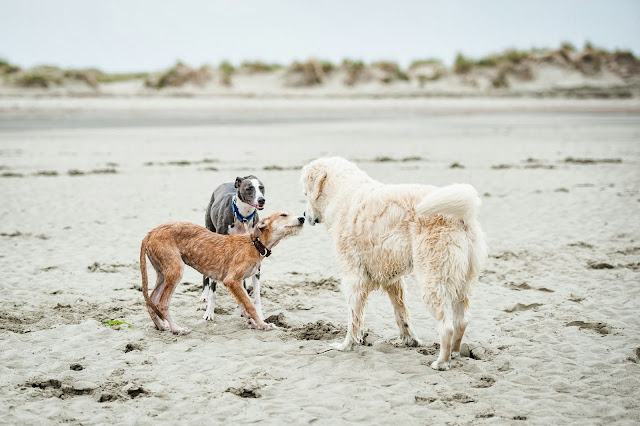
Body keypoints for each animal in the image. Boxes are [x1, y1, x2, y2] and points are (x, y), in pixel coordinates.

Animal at [140, 211, 304, 334]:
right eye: (283, 215)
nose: (302, 218)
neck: (254, 244)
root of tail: (149, 234)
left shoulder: (237, 283)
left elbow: (244, 304)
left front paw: (252, 323)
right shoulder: (232, 280)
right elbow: (249, 304)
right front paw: (263, 325)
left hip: (163, 273)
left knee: (151, 301)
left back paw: (161, 326)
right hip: (175, 270)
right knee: (162, 304)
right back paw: (177, 329)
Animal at [302, 156, 488, 370]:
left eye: (305, 193)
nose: (305, 216)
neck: (342, 192)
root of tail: (460, 218)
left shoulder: (353, 279)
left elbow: (353, 318)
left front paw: (346, 345)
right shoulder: (392, 280)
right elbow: (401, 314)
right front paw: (410, 340)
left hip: (432, 282)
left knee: (447, 327)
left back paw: (441, 362)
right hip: (463, 283)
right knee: (462, 322)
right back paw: (455, 354)